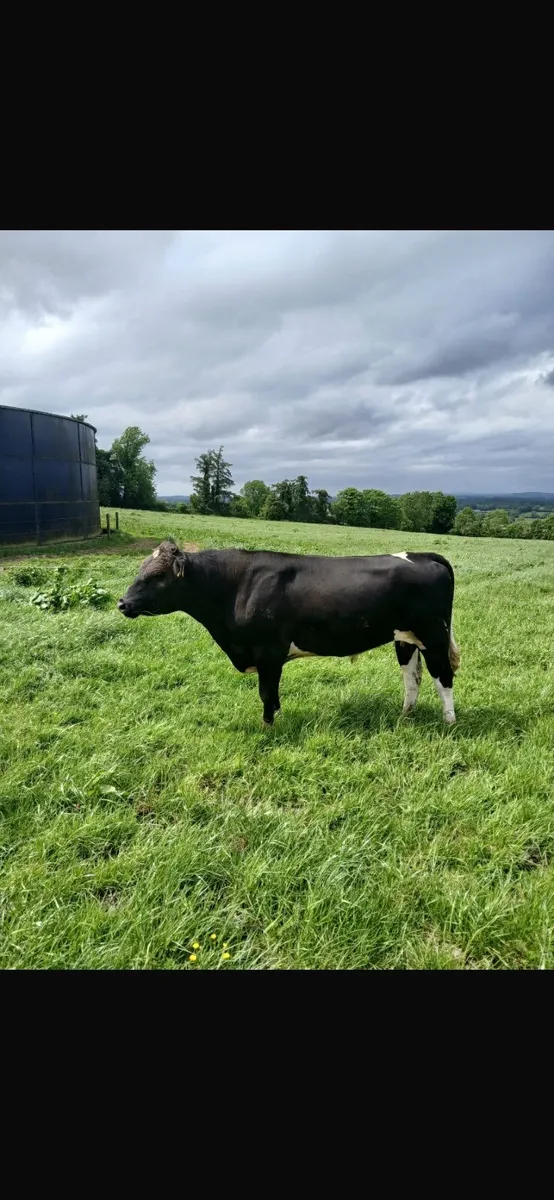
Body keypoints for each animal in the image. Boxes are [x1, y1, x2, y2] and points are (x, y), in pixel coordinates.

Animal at [118, 540, 460, 726]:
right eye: (140, 569)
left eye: (159, 576)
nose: (122, 603)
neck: (235, 586)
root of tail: (424, 555)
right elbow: (273, 694)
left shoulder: (268, 651)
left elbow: (267, 693)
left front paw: (268, 727)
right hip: (405, 637)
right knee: (412, 677)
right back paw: (405, 716)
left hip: (434, 634)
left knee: (443, 676)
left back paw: (449, 721)